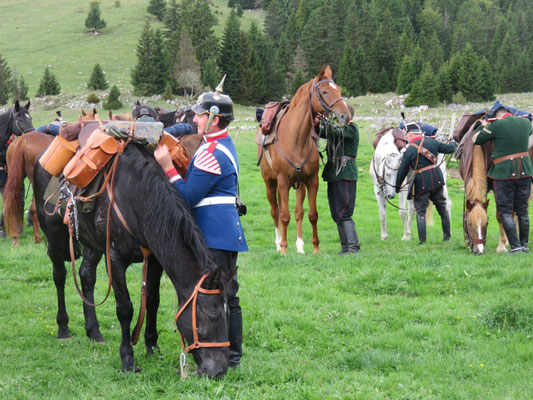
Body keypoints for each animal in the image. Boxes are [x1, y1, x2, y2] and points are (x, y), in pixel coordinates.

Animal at [32, 141, 230, 378]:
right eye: (212, 316)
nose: (219, 370)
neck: (138, 198)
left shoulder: (154, 260)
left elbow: (152, 300)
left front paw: (151, 345)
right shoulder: (115, 260)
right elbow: (125, 309)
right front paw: (127, 359)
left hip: (92, 243)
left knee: (86, 276)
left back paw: (94, 331)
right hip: (53, 234)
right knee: (59, 276)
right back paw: (63, 327)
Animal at [256, 65, 350, 253]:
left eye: (339, 89)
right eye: (325, 91)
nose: (345, 115)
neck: (296, 138)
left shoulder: (311, 180)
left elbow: (311, 214)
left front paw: (315, 248)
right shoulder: (283, 181)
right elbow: (284, 216)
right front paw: (284, 249)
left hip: (299, 185)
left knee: (298, 212)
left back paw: (299, 246)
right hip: (270, 183)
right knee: (275, 211)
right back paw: (278, 243)